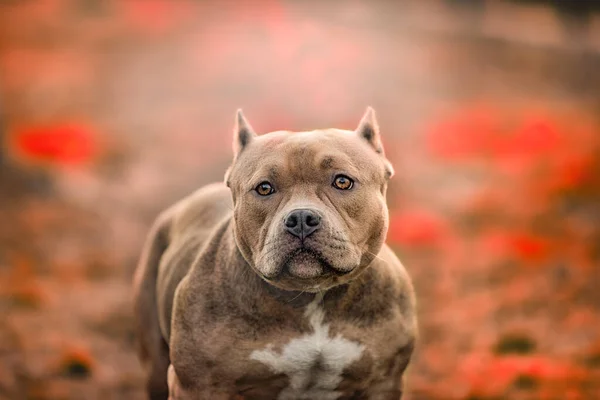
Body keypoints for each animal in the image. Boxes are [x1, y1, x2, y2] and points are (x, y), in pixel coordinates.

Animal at [134, 108, 418, 398]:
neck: (312, 297)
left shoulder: (382, 384)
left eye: (342, 181)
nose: (301, 218)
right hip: (155, 362)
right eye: (264, 188)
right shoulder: (199, 386)